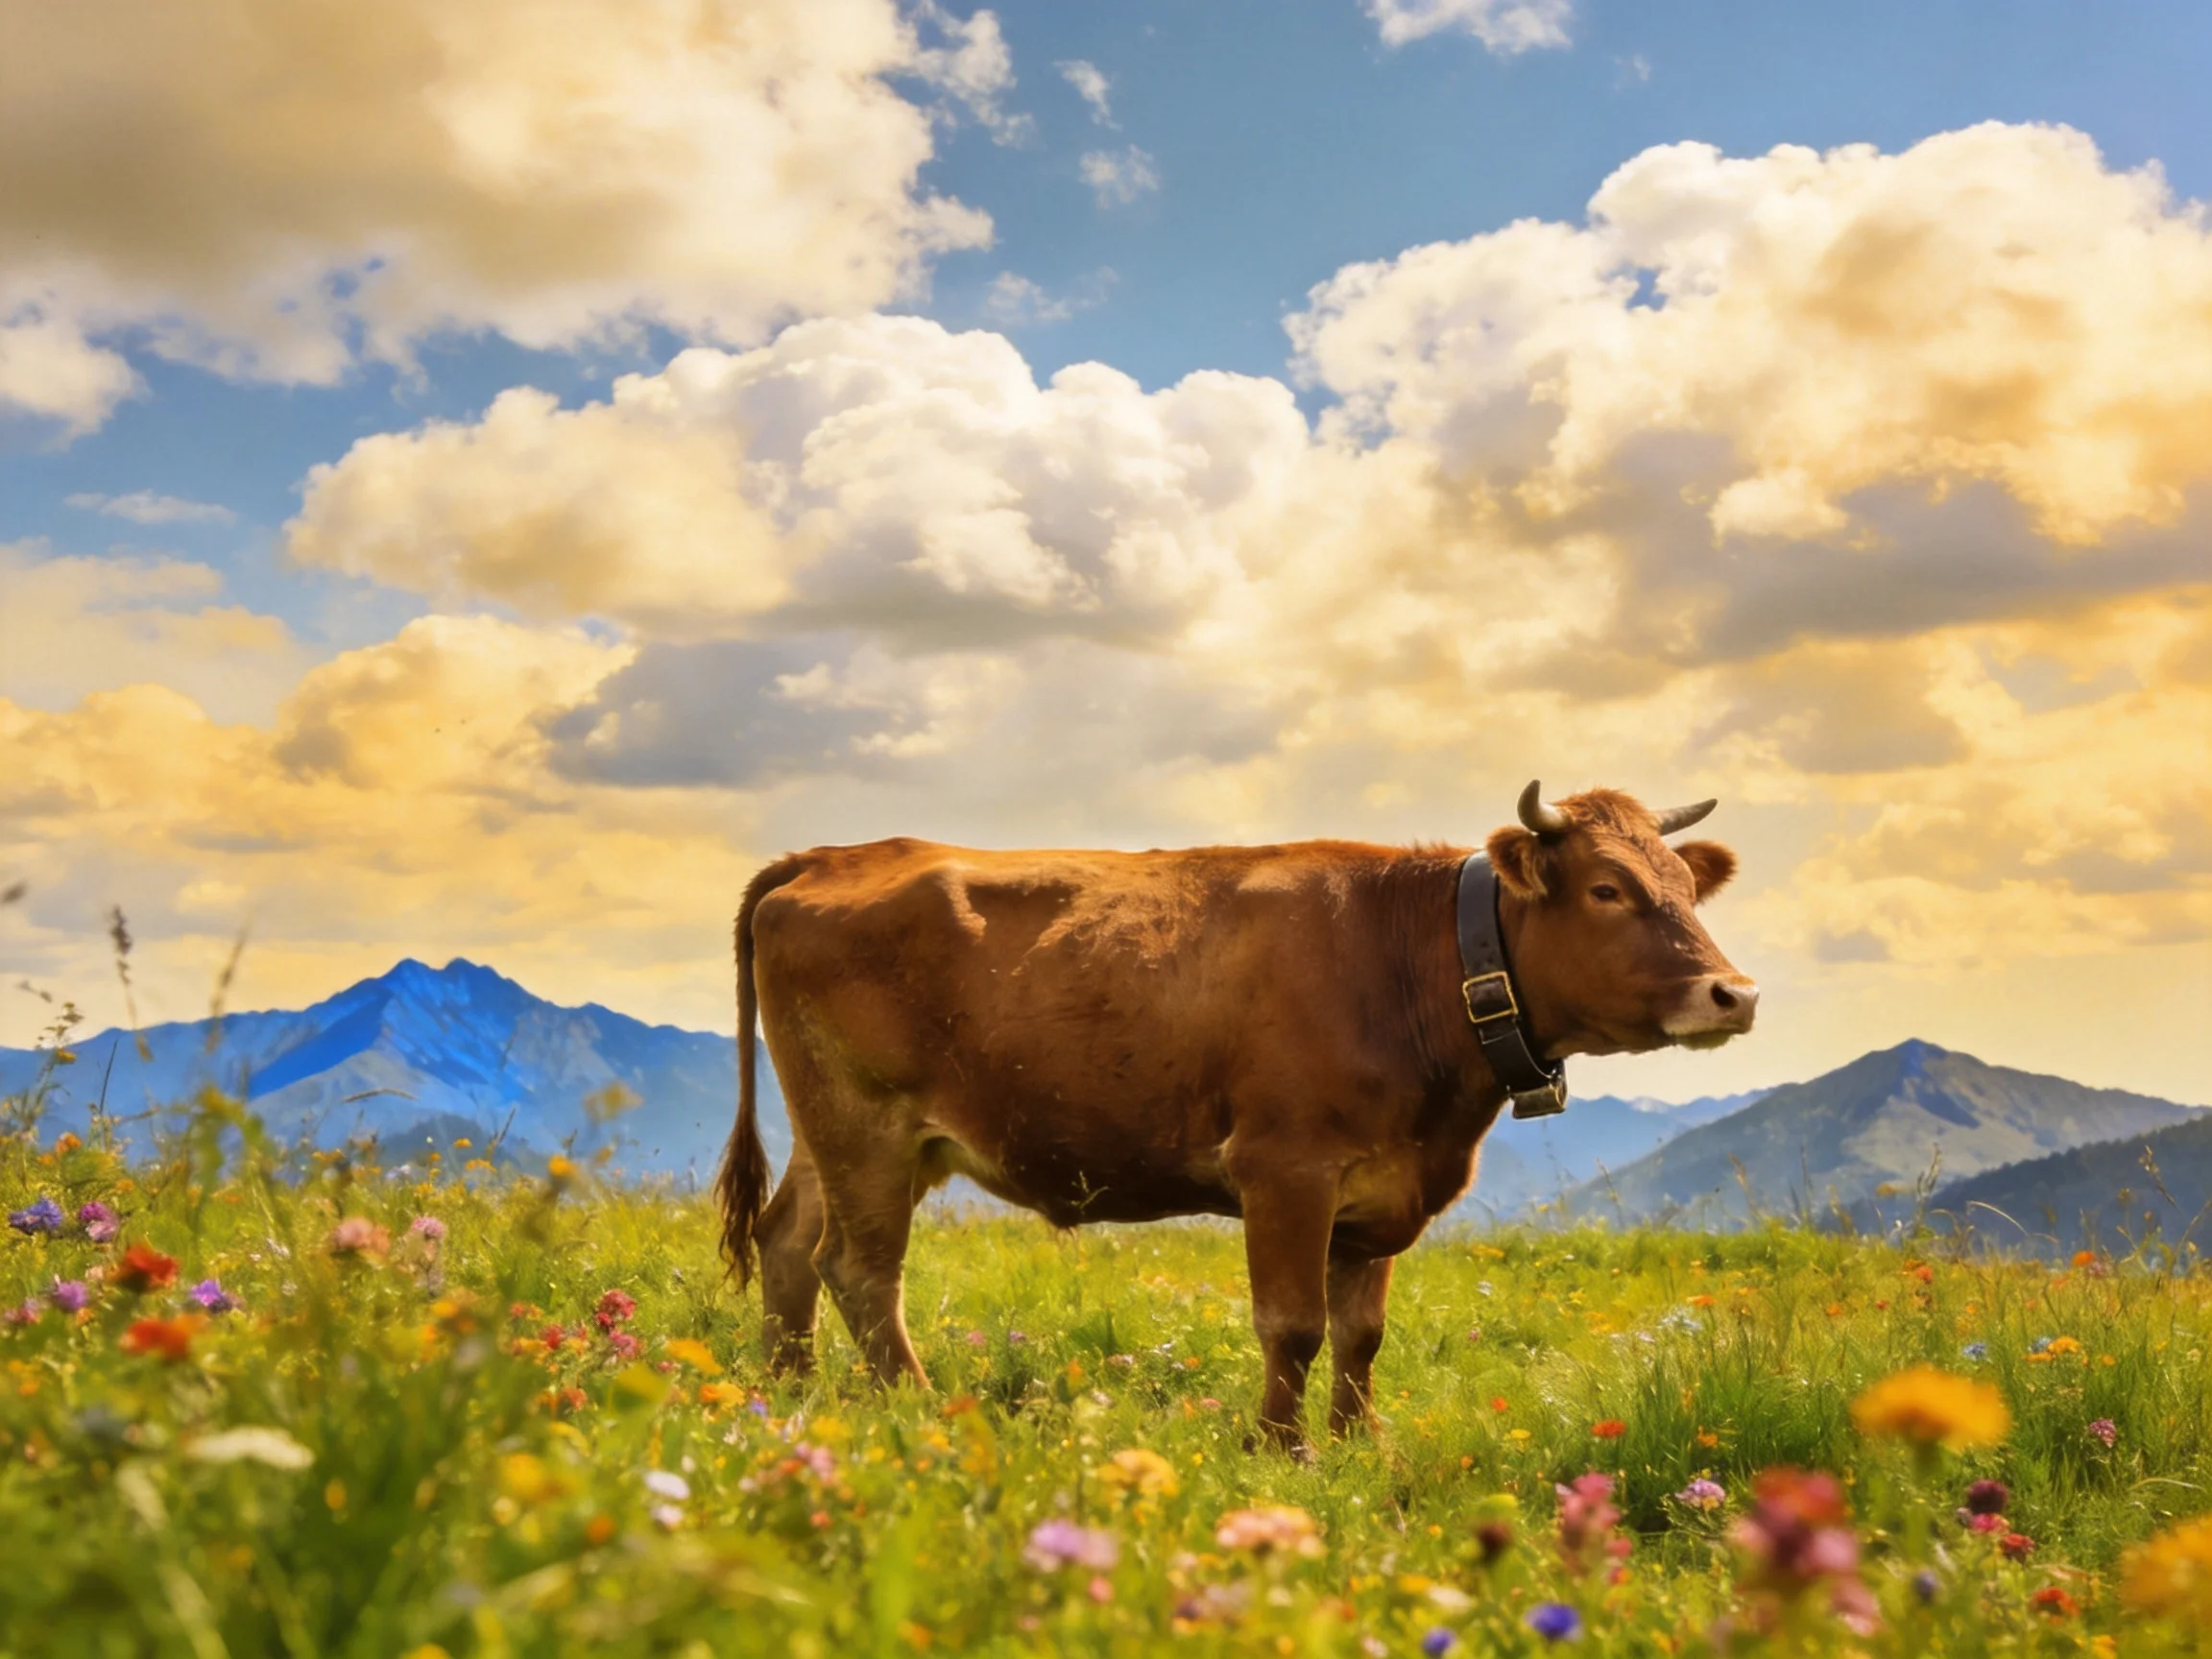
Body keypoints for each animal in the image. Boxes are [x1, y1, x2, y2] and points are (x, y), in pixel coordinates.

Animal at [716, 783, 1756, 1452]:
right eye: (1608, 889)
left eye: (1685, 886)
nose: (1735, 994)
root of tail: (833, 855)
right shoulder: (1284, 1169)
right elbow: (1293, 1324)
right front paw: (1279, 1453)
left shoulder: (1378, 1188)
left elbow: (1362, 1332)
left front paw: (1356, 1447)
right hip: (866, 1125)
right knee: (859, 1269)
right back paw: (921, 1411)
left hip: (841, 1130)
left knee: (788, 1240)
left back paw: (787, 1397)